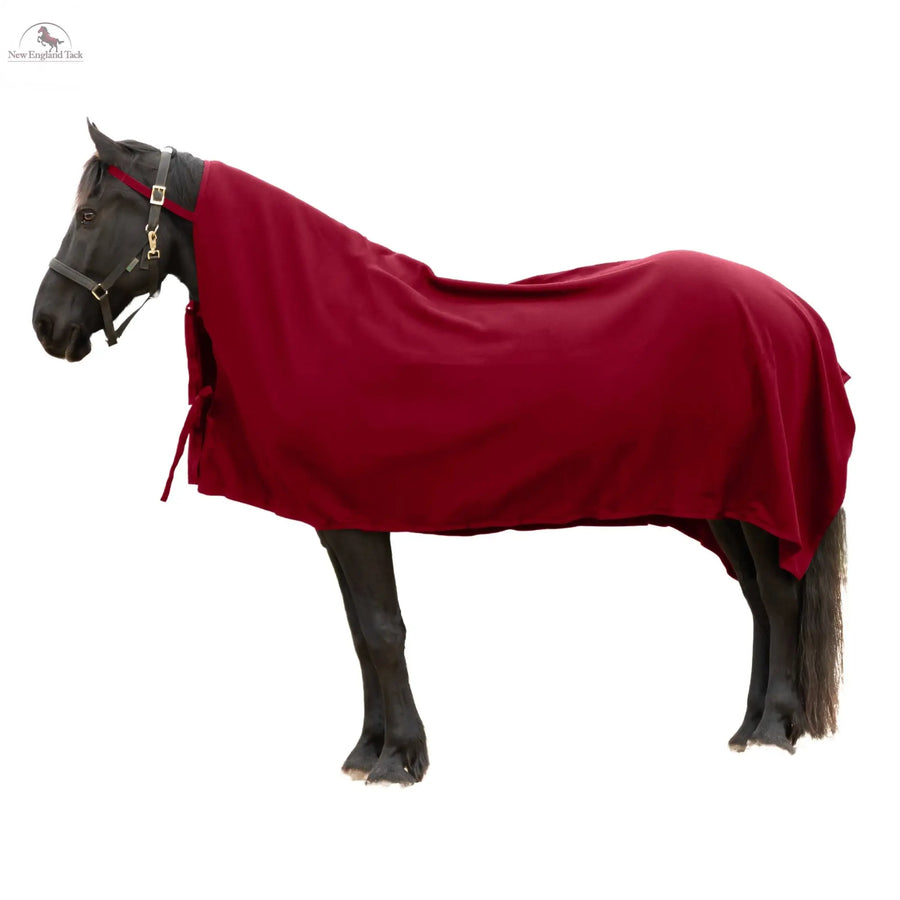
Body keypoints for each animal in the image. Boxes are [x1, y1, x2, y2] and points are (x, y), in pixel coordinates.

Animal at [31, 121, 853, 785]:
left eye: (88, 214)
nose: (46, 325)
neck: (326, 314)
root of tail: (791, 308)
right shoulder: (338, 517)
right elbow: (361, 632)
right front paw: (368, 751)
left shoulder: (358, 517)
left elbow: (382, 629)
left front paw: (400, 759)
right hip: (724, 502)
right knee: (758, 599)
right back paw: (748, 727)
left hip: (758, 494)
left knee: (779, 595)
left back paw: (773, 731)